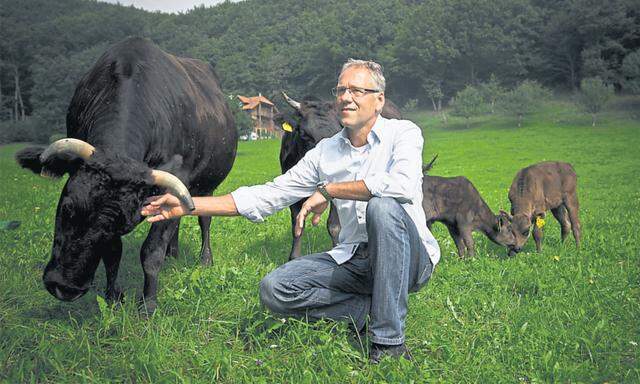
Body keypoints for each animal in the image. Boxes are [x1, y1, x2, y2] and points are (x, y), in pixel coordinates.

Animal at [15, 36, 238, 316]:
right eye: (66, 208)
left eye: (118, 224)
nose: (63, 287)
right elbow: (113, 253)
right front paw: (113, 297)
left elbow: (151, 251)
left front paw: (148, 304)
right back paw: (173, 255)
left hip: (206, 185)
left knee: (204, 220)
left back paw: (204, 259)